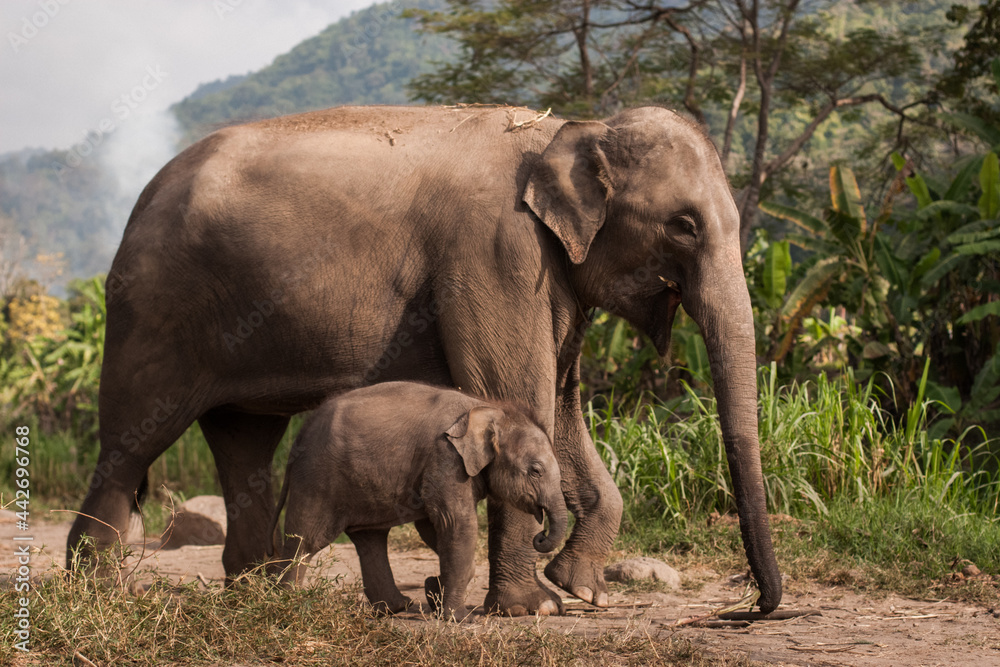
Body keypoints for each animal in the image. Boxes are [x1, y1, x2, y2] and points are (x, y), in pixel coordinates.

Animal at [269, 381, 568, 619]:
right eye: (536, 470)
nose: (541, 536)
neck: (490, 409)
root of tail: (300, 434)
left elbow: (433, 528)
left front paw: (435, 590)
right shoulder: (445, 458)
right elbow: (457, 524)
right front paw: (458, 618)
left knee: (370, 538)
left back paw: (397, 607)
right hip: (316, 479)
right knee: (306, 540)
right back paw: (287, 602)